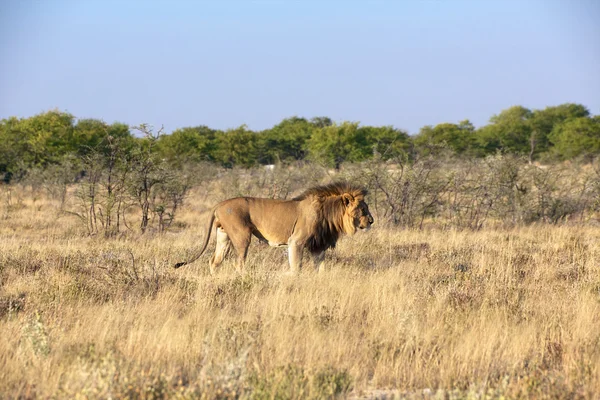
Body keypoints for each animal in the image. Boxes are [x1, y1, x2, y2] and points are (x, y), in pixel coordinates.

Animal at [171, 182, 372, 274]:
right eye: (363, 209)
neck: (329, 213)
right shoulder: (296, 242)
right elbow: (296, 267)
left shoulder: (318, 245)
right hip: (242, 236)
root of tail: (219, 204)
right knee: (239, 263)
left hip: (223, 236)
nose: (371, 221)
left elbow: (320, 268)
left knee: (214, 261)